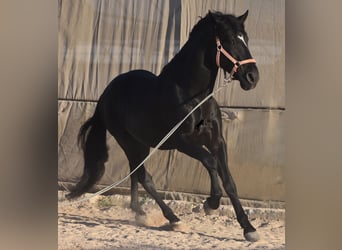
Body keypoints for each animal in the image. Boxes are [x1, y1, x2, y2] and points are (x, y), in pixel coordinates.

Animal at [67, 10, 260, 242]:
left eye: (245, 38)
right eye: (230, 40)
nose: (252, 77)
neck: (194, 97)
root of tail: (106, 94)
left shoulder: (216, 141)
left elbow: (229, 180)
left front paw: (248, 228)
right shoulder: (182, 141)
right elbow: (210, 162)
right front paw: (210, 204)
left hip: (140, 144)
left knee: (136, 173)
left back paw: (140, 213)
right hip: (128, 142)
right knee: (144, 177)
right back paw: (174, 219)